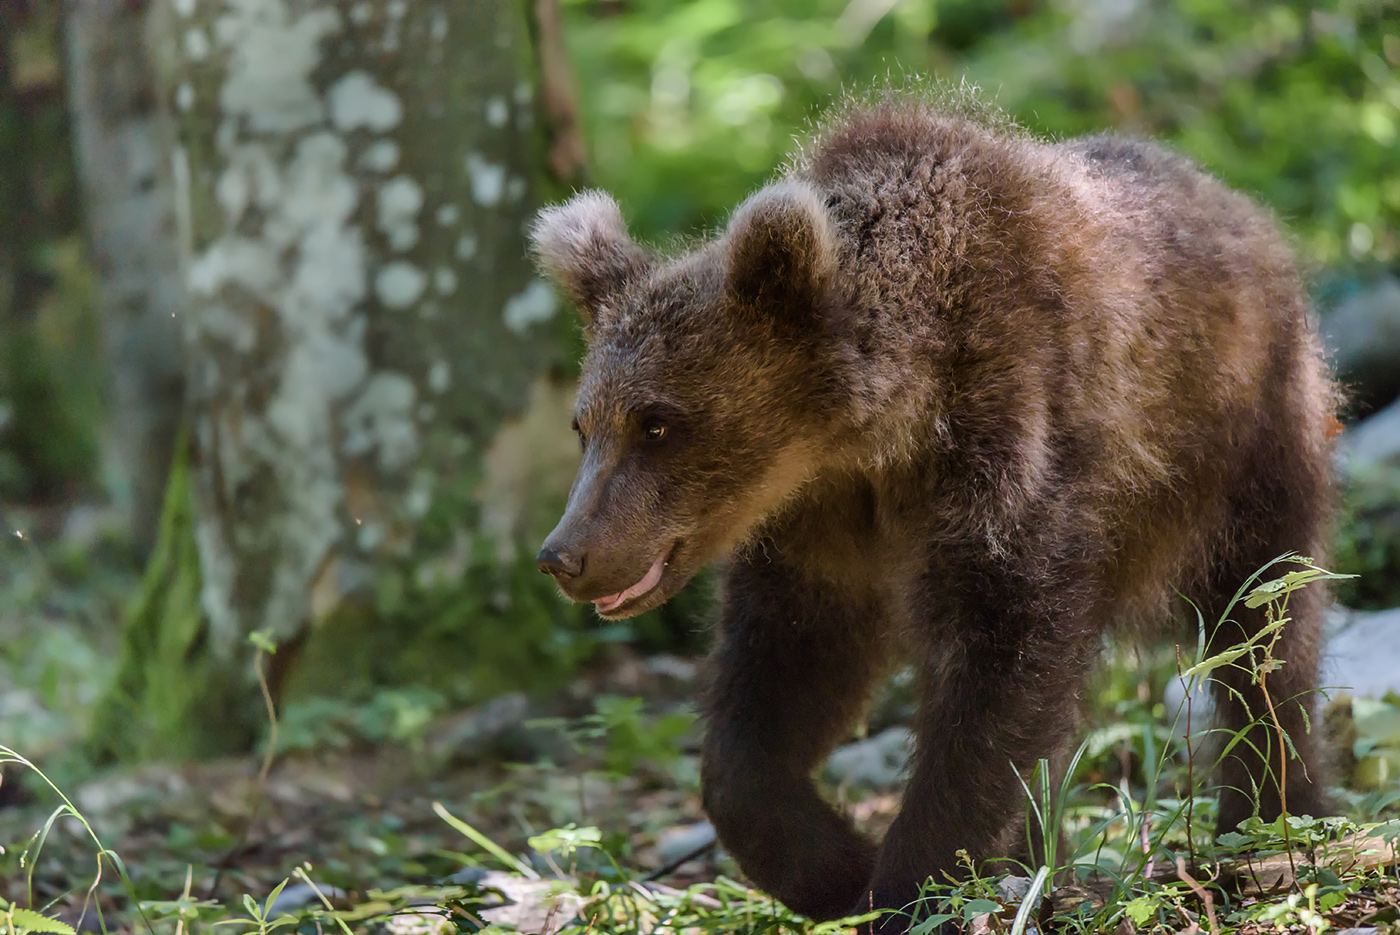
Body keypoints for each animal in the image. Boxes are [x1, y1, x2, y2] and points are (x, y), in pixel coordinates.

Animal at [529, 92, 1335, 928]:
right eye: (585, 424)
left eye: (658, 423)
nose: (564, 554)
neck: (876, 431)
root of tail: (1241, 204)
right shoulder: (821, 524)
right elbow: (784, 674)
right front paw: (835, 865)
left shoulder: (1005, 440)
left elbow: (999, 667)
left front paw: (907, 884)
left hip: (1244, 434)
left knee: (1265, 628)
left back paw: (1267, 822)